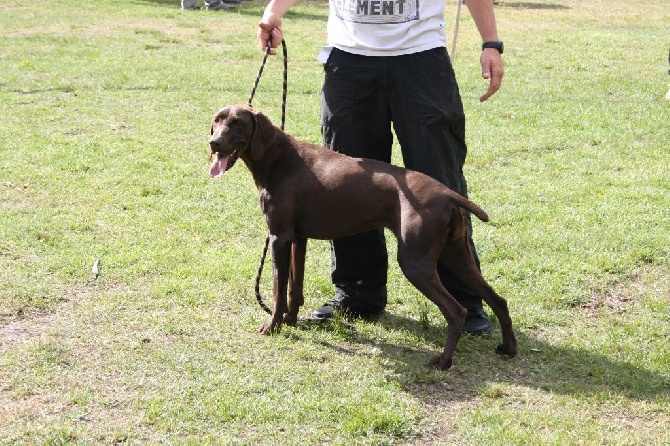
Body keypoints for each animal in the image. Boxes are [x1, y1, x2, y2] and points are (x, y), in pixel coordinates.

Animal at [210, 104, 520, 370]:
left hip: (415, 262)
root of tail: (446, 193)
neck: (278, 159)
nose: (214, 143)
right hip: (455, 255)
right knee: (498, 300)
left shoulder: (278, 238)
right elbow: (293, 290)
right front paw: (291, 321)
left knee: (457, 311)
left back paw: (443, 361)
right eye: (217, 120)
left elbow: (277, 291)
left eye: (238, 123)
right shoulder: (297, 239)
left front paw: (272, 326)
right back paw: (508, 348)